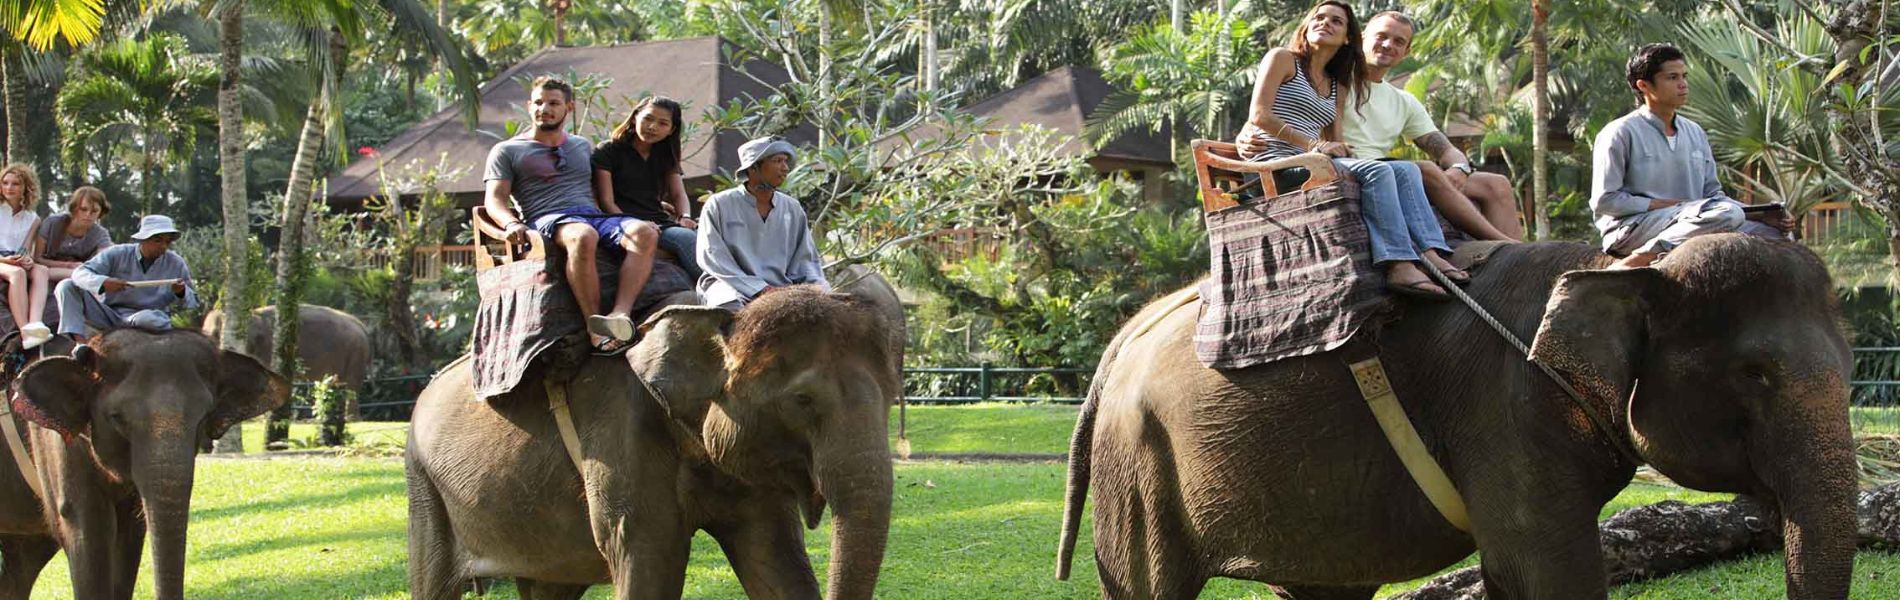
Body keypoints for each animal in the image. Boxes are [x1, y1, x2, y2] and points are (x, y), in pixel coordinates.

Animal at [407, 282, 903, 600]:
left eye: (893, 393)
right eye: (801, 399)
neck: (719, 318)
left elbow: (776, 561)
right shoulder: (622, 434)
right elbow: (648, 559)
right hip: (423, 482)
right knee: (435, 582)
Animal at [1056, 235, 1858, 599]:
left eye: (1856, 369)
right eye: (1756, 376)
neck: (1620, 267)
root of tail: (1125, 334)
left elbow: (1511, 574)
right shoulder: (1506, 412)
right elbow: (1548, 570)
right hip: (1139, 469)